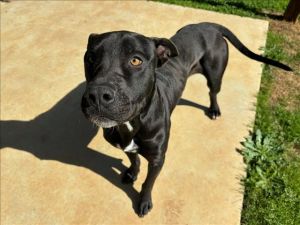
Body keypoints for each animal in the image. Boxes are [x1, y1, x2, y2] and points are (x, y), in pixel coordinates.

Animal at [81, 22, 292, 216]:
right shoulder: (125, 145)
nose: (97, 95)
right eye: (90, 58)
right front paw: (133, 173)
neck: (133, 123)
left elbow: (148, 183)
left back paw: (214, 109)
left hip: (215, 75)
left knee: (213, 92)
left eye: (135, 61)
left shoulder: (157, 160)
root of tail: (208, 24)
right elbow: (134, 159)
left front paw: (144, 202)